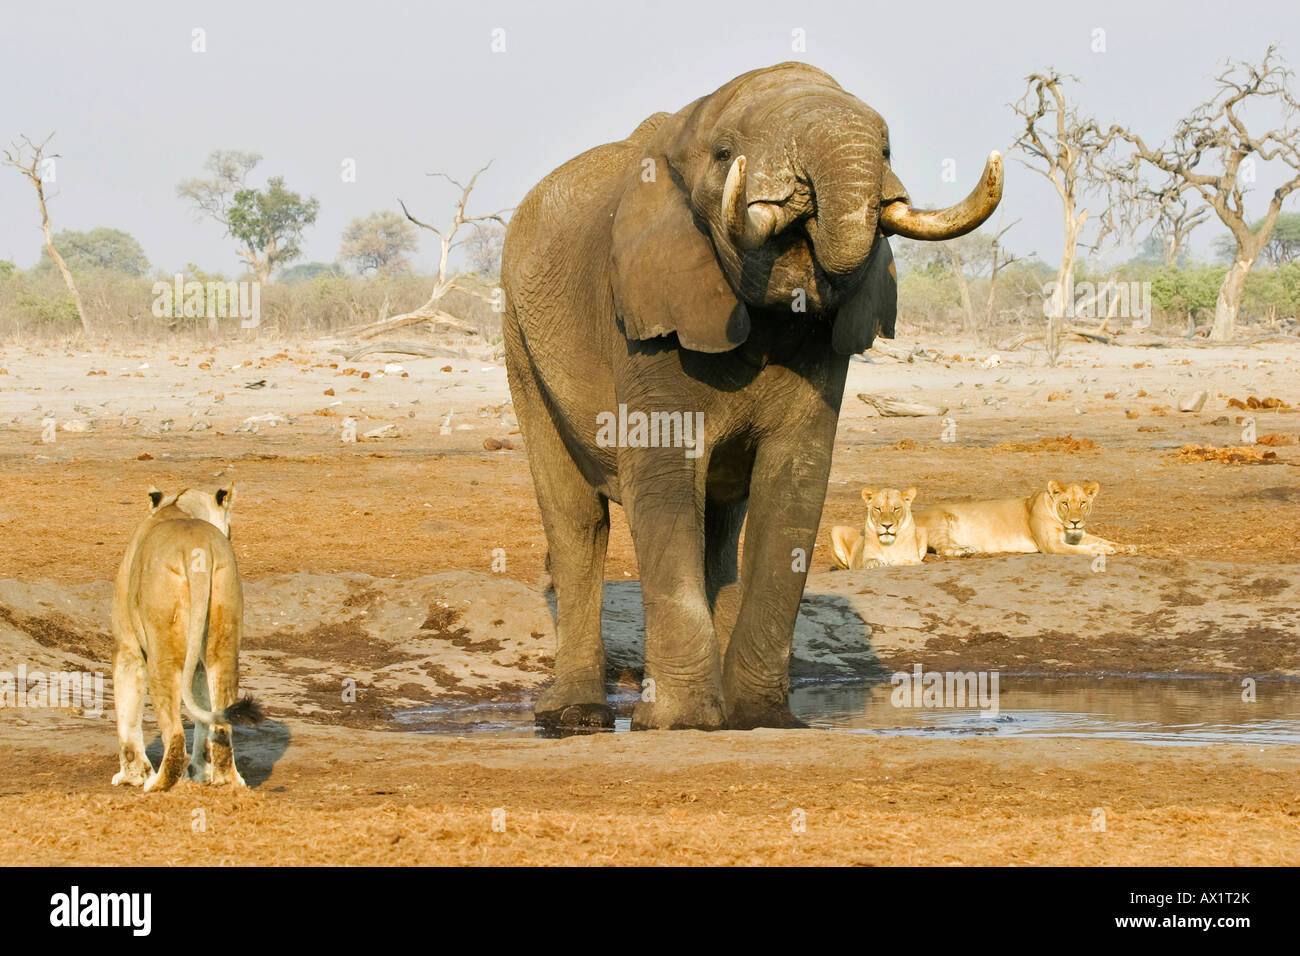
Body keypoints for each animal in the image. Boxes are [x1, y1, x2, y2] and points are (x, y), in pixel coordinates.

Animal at [501, 61, 998, 733]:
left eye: (889, 151)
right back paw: (574, 717)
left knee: (717, 527)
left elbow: (793, 487)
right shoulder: (645, 316)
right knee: (578, 522)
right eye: (725, 153)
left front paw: (762, 719)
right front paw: (683, 724)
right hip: (520, 342)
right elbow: (663, 483)